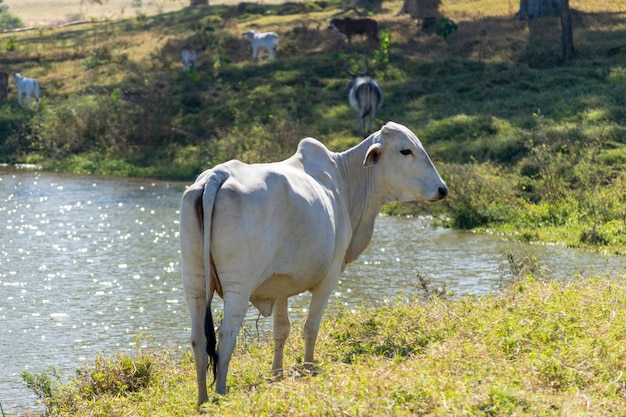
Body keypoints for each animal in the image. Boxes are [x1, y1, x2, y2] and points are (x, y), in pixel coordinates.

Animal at [178, 120, 446, 404]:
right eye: (406, 151)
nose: (442, 189)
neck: (344, 180)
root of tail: (216, 176)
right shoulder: (330, 276)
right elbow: (311, 326)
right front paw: (309, 368)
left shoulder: (280, 284)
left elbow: (281, 329)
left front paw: (277, 373)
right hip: (238, 286)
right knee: (227, 335)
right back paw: (220, 393)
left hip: (195, 281)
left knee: (198, 339)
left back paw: (202, 399)